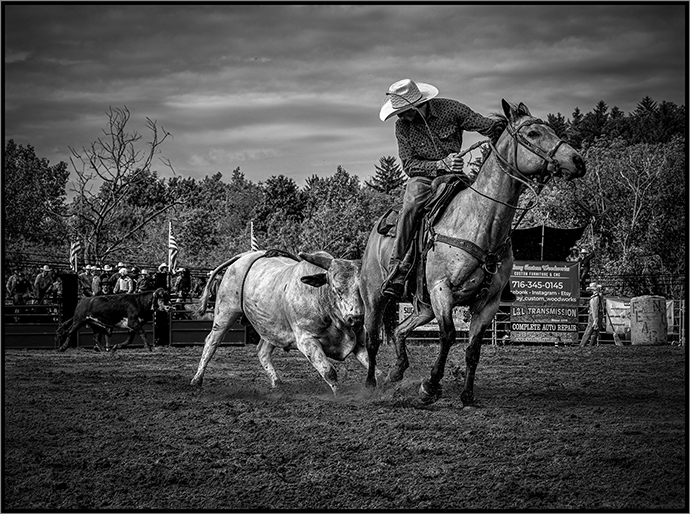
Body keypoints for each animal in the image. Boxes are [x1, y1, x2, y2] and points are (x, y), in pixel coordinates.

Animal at [360, 101, 584, 404]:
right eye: (533, 133)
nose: (578, 161)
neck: (479, 223)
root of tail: (377, 229)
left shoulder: (488, 302)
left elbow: (473, 348)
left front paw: (467, 395)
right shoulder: (442, 289)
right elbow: (448, 335)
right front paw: (430, 386)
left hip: (424, 305)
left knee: (399, 329)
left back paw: (397, 371)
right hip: (375, 295)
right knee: (372, 338)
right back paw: (371, 383)